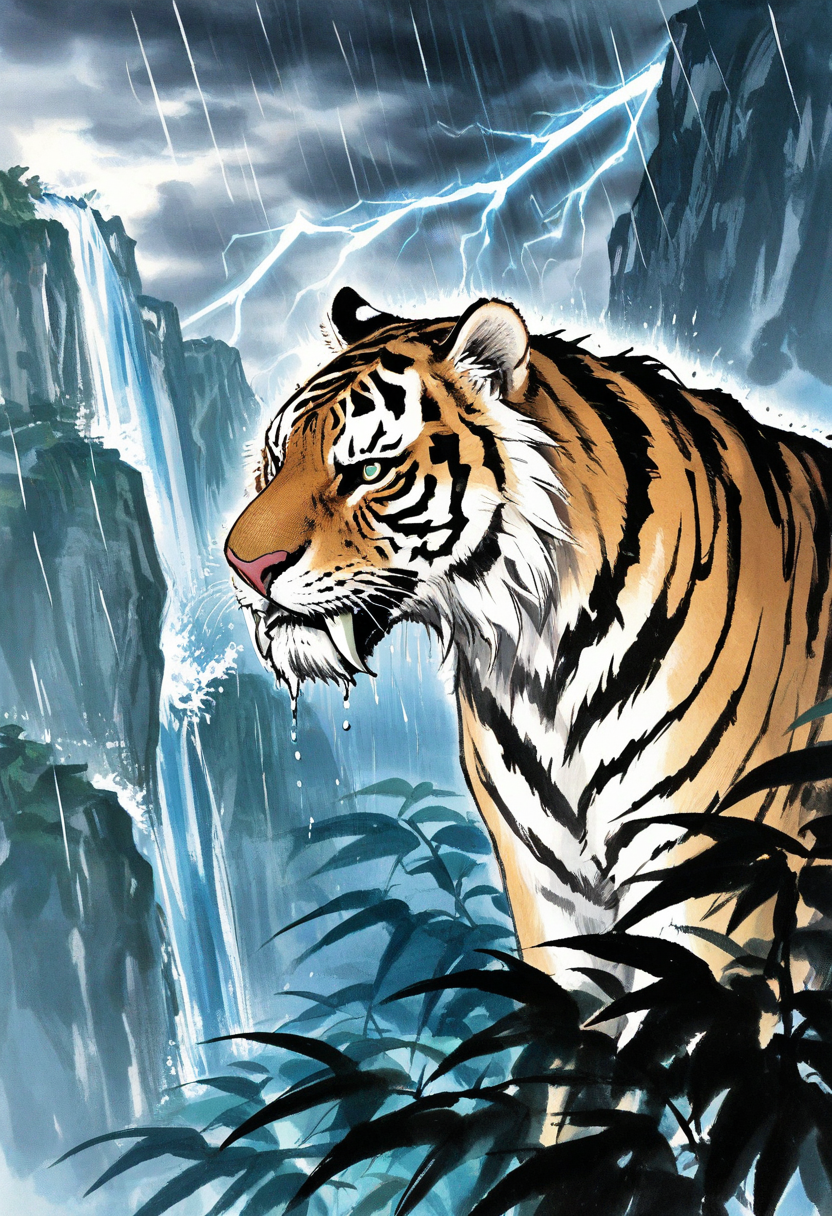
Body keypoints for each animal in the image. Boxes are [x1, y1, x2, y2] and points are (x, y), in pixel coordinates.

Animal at [225, 286, 832, 973]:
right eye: (276, 459)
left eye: (370, 470)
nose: (243, 565)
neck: (543, 657)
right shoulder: (547, 883)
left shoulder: (713, 873)